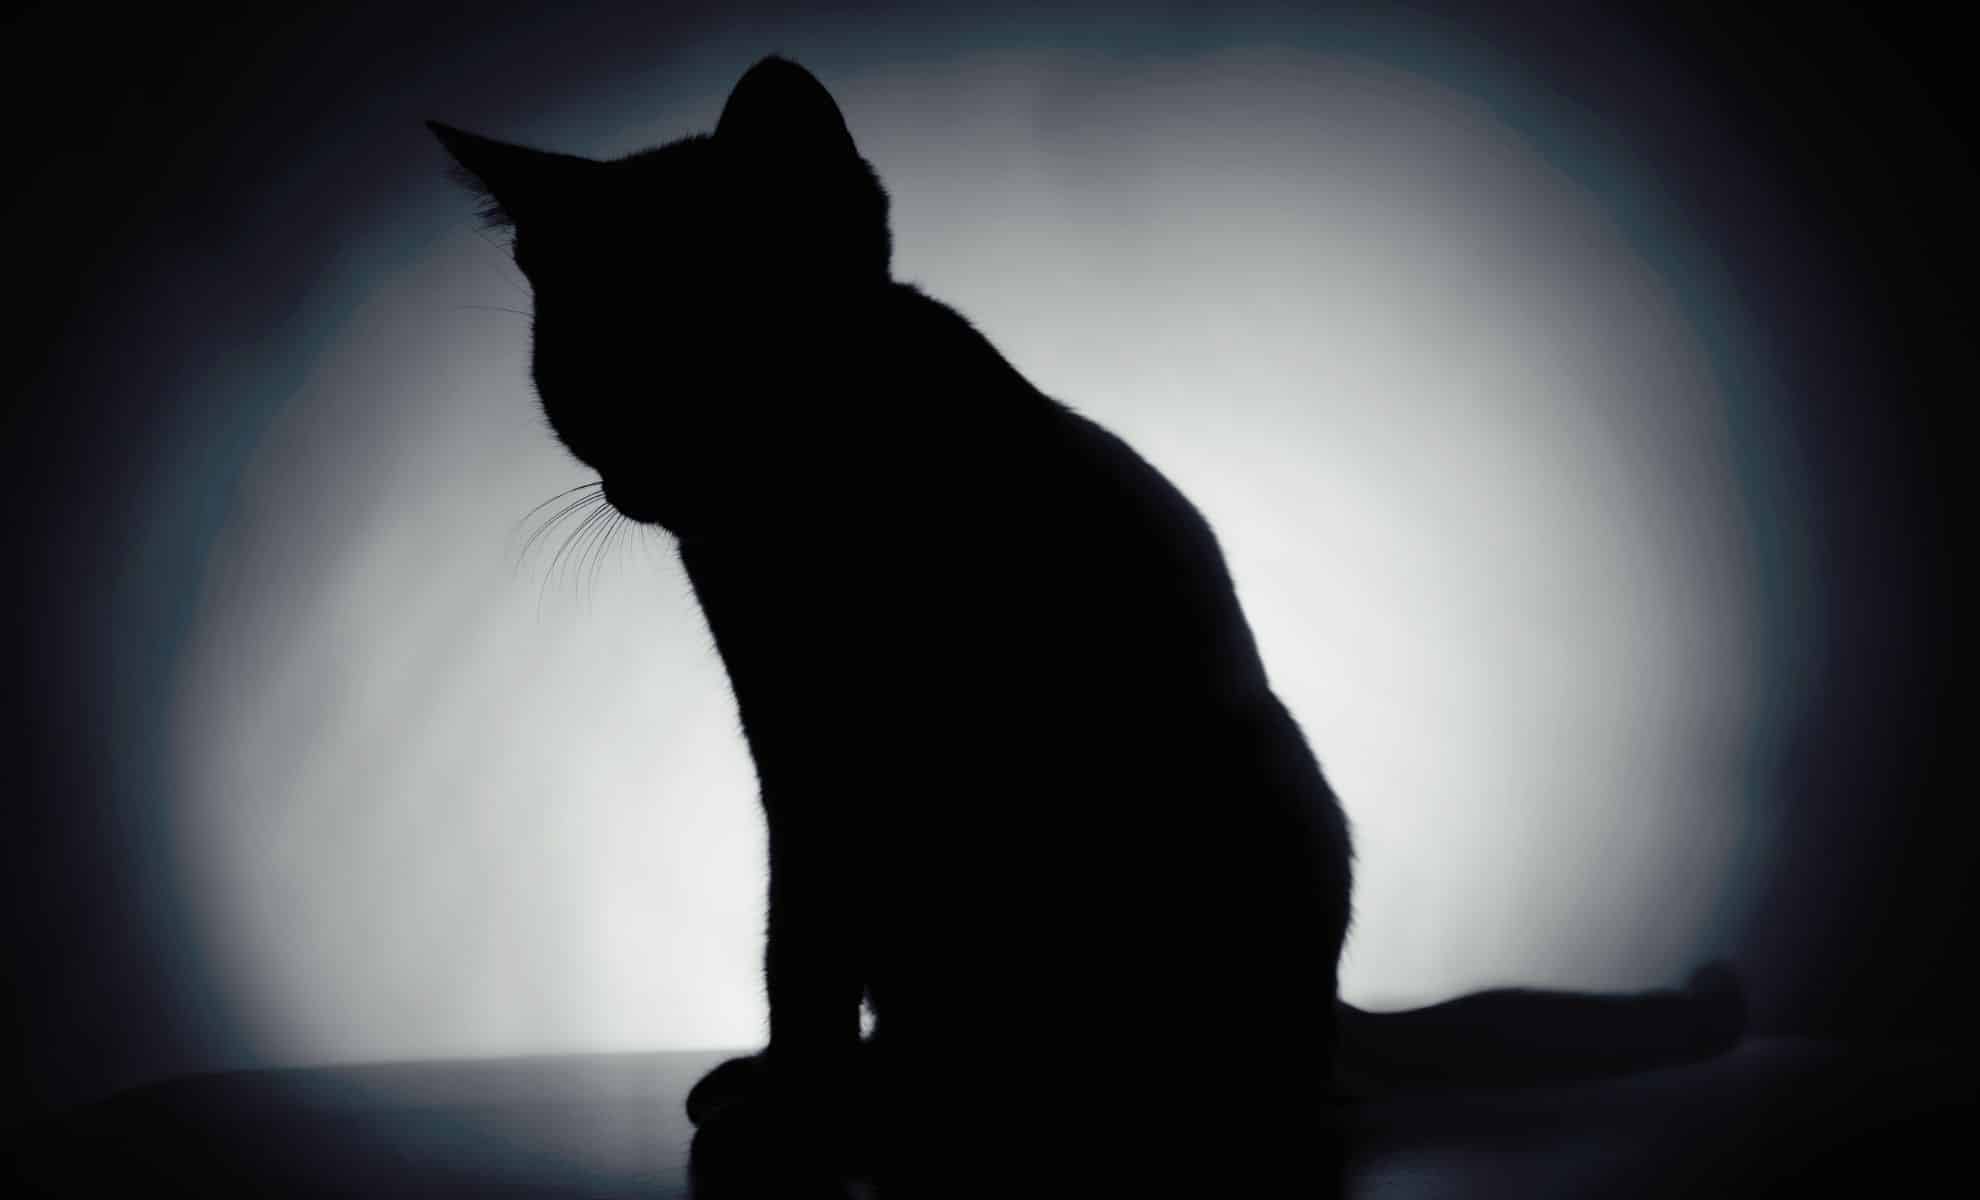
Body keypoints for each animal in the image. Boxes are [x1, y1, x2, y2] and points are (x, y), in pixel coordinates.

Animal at [431, 56, 1745, 1197]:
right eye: (590, 377)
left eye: (724, 340)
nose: (646, 472)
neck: (817, 531)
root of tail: (1337, 1015)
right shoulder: (797, 742)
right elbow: (797, 933)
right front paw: (805, 1085)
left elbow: (860, 939)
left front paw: (838, 1103)